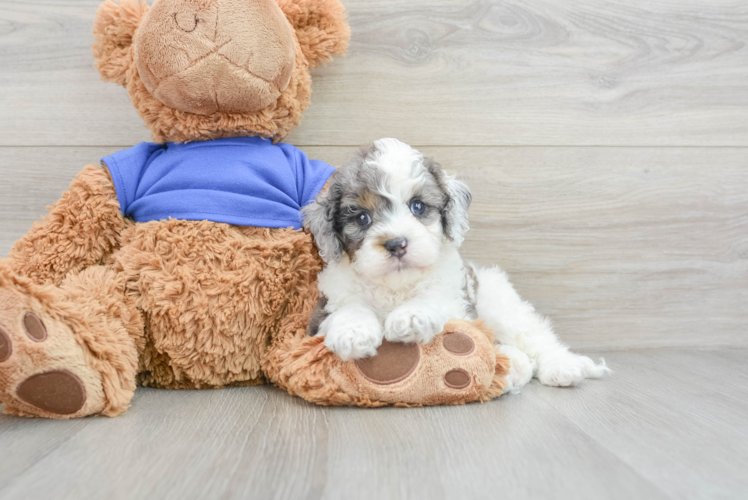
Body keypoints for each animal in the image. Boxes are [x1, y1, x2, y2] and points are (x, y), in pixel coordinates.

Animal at [300, 139, 612, 392]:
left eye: (418, 206)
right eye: (362, 218)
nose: (397, 244)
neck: (396, 287)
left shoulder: (457, 304)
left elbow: (434, 300)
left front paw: (411, 317)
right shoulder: (323, 309)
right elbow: (348, 308)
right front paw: (353, 332)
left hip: (501, 304)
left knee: (536, 337)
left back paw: (562, 367)